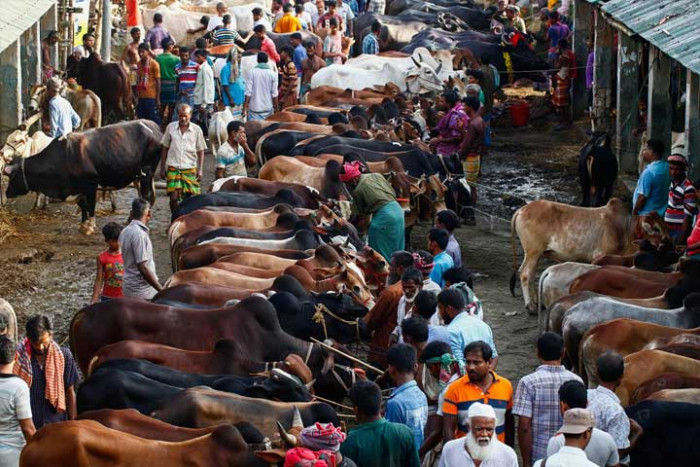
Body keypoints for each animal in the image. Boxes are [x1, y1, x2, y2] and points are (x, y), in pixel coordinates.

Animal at [4, 120, 160, 234]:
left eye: (12, 177)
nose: (7, 192)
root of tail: (151, 124)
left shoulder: (91, 183)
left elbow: (90, 204)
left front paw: (90, 227)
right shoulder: (78, 188)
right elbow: (82, 204)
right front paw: (83, 225)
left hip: (146, 172)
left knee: (147, 196)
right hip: (139, 176)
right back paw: (130, 219)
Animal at [512, 198, 668, 314]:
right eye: (655, 229)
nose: (667, 242)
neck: (624, 229)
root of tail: (521, 210)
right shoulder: (601, 255)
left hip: (535, 254)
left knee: (530, 273)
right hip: (533, 251)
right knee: (525, 274)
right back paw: (530, 306)